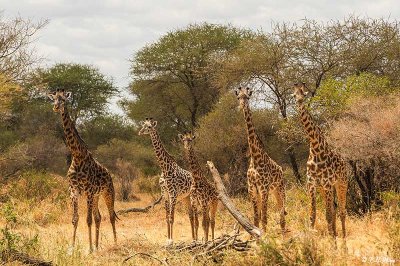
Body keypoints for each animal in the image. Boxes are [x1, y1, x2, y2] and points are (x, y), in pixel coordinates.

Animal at [47, 89, 118, 251]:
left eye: (64, 99)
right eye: (53, 99)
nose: (56, 107)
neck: (77, 156)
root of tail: (109, 173)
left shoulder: (89, 191)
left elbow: (88, 220)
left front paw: (89, 249)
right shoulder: (74, 191)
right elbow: (75, 219)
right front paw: (72, 248)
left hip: (108, 192)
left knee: (111, 216)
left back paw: (115, 243)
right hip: (97, 196)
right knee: (99, 217)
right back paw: (98, 246)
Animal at [234, 87, 288, 233]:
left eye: (247, 97)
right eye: (239, 97)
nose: (242, 106)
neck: (255, 158)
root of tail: (281, 169)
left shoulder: (264, 189)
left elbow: (264, 218)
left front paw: (265, 236)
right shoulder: (252, 190)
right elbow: (256, 219)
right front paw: (256, 237)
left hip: (280, 189)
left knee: (282, 214)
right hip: (272, 191)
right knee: (280, 214)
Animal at [292, 82, 348, 237]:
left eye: (303, 94)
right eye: (294, 95)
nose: (300, 102)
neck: (316, 149)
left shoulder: (327, 184)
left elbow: (328, 215)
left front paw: (332, 240)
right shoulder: (312, 184)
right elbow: (313, 215)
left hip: (341, 184)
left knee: (342, 211)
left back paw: (343, 240)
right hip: (324, 189)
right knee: (335, 209)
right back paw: (335, 235)